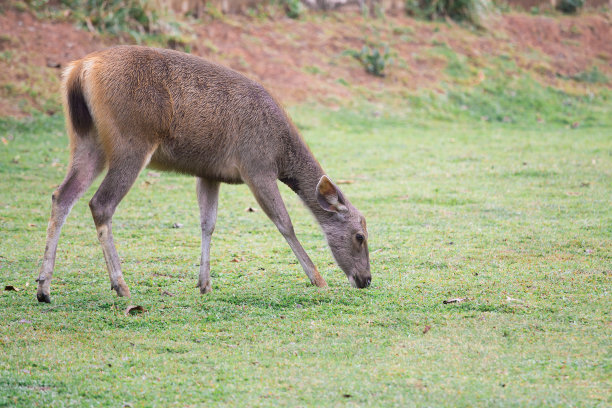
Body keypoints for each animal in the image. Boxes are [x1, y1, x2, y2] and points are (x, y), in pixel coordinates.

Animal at [37, 45, 372, 302]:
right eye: (360, 236)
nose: (366, 279)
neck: (280, 152)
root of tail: (80, 69)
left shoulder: (210, 172)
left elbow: (207, 223)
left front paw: (204, 284)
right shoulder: (256, 166)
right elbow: (284, 222)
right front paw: (318, 279)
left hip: (87, 140)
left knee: (61, 195)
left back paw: (44, 288)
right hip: (131, 141)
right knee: (100, 203)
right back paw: (120, 286)